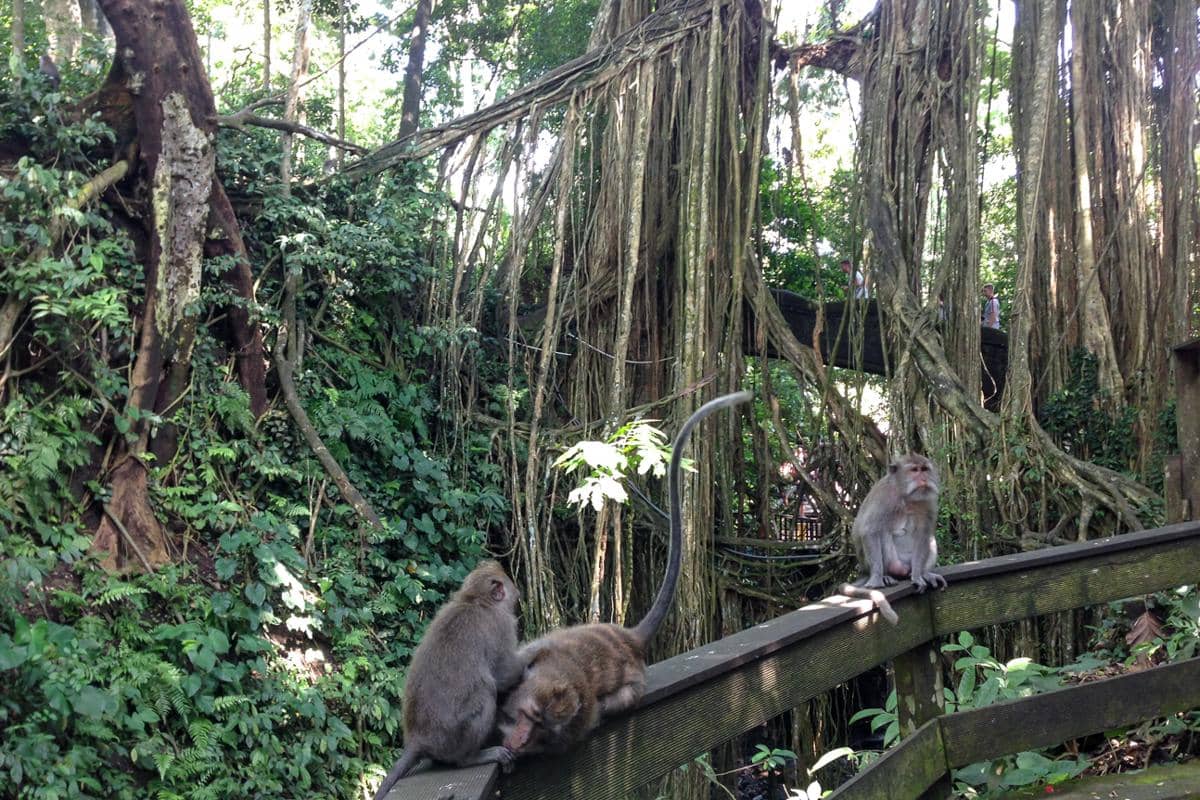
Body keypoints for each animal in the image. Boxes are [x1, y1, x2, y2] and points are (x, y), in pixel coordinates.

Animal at [373, 560, 524, 800]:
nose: (518, 595)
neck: (474, 600)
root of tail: (418, 739)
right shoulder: (502, 625)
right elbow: (504, 674)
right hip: (454, 738)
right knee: (486, 691)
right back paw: (472, 757)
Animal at [497, 390, 753, 756]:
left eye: (539, 727)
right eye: (527, 716)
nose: (519, 740)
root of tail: (628, 638)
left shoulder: (578, 719)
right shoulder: (528, 656)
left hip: (633, 678)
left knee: (623, 696)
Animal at [838, 453, 945, 625]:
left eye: (924, 469)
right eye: (914, 470)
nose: (924, 479)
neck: (907, 496)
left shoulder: (929, 501)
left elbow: (923, 534)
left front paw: (918, 575)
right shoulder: (884, 497)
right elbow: (870, 530)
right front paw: (877, 579)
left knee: (930, 539)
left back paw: (924, 572)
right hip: (890, 562)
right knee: (882, 533)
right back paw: (886, 576)